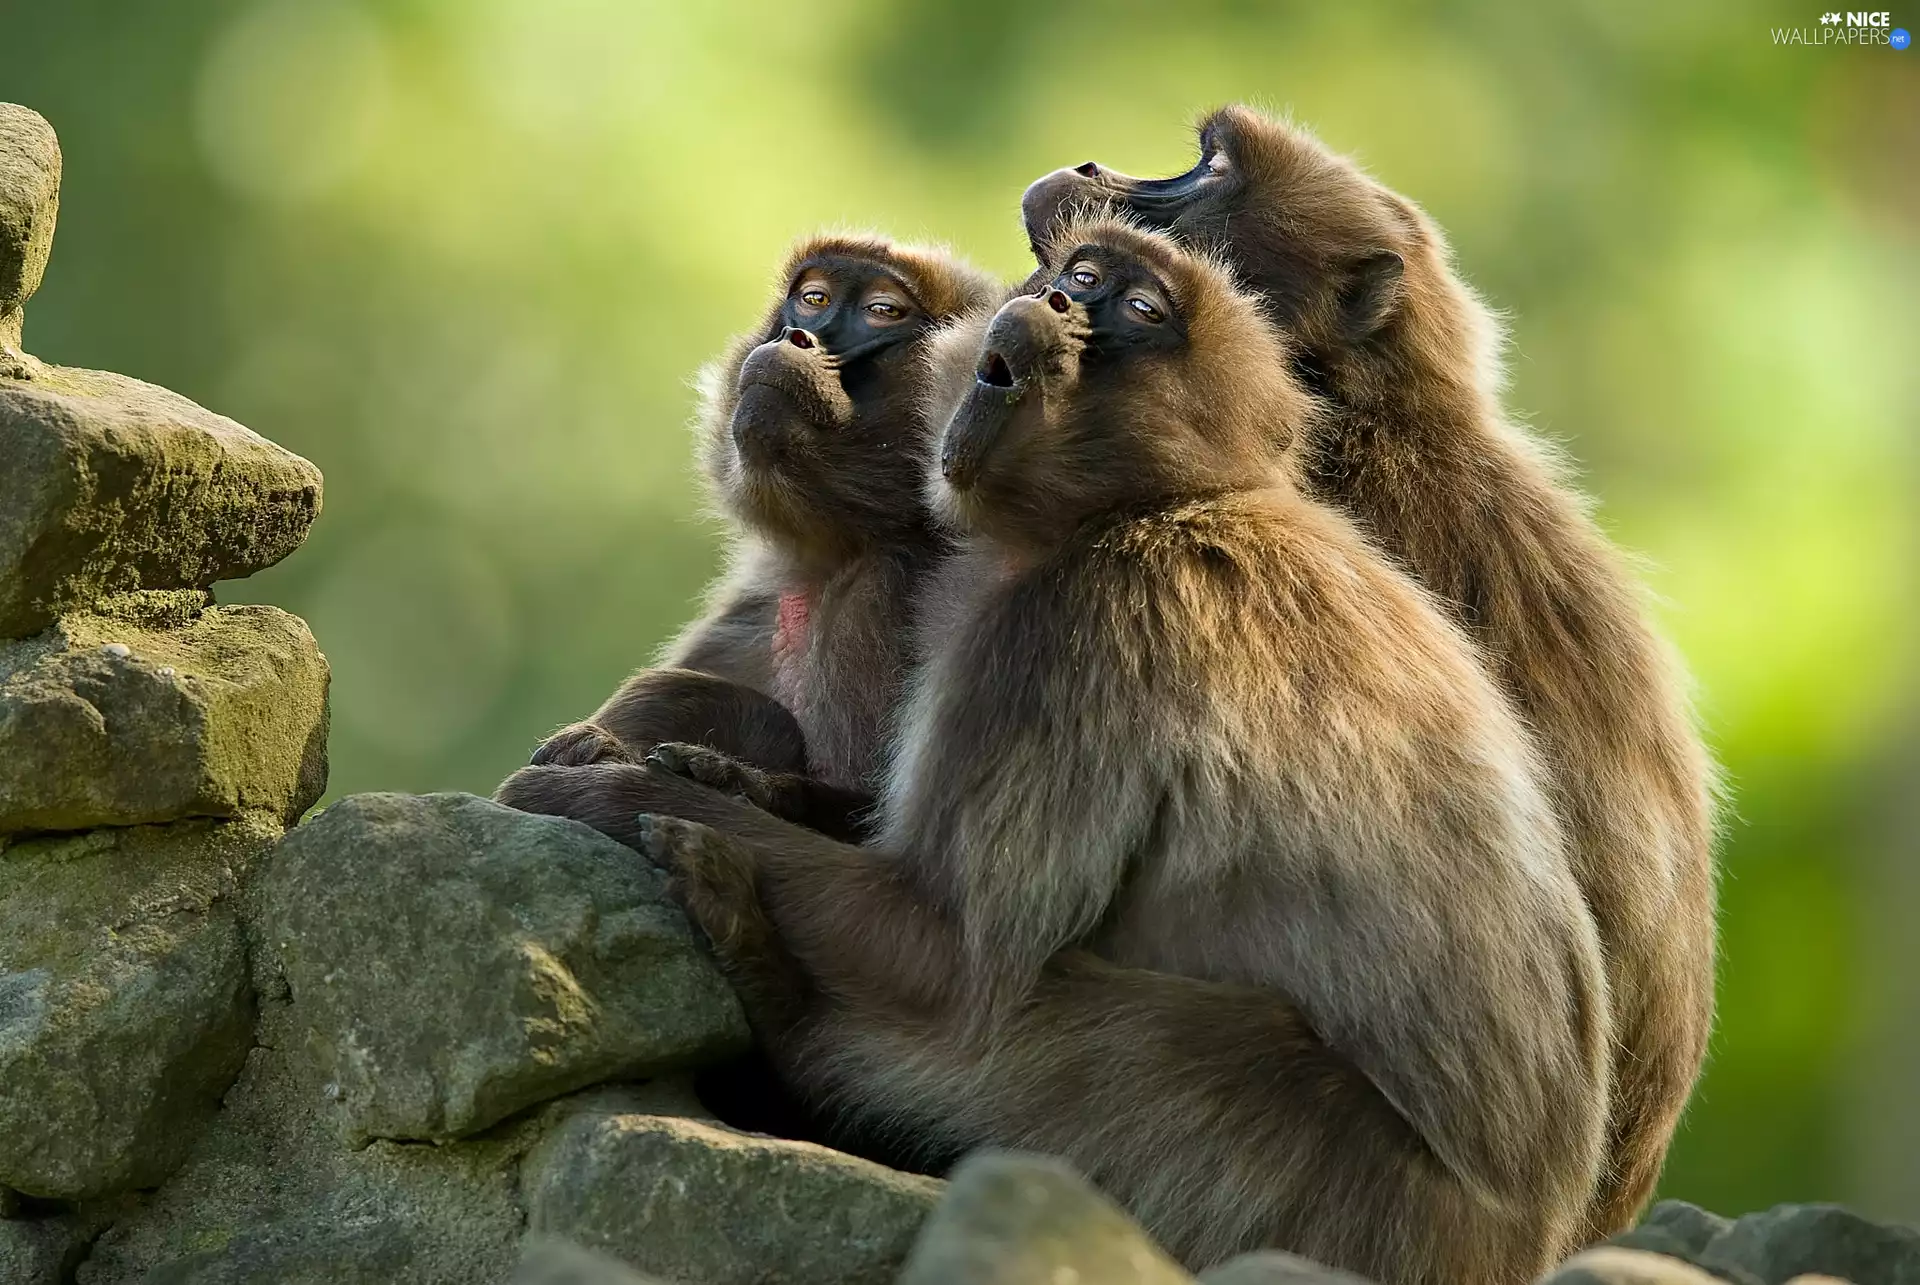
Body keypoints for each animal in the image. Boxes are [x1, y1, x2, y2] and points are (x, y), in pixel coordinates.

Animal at [495, 234, 1001, 842]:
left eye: (883, 310)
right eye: (813, 299)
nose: (799, 337)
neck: (836, 553)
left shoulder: (891, 591)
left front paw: (727, 779)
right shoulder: (754, 609)